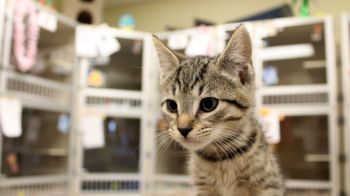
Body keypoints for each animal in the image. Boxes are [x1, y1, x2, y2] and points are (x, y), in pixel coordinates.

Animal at [153, 25, 284, 195]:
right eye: (171, 105)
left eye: (208, 104)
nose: (183, 129)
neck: (220, 157)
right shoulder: (203, 187)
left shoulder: (268, 185)